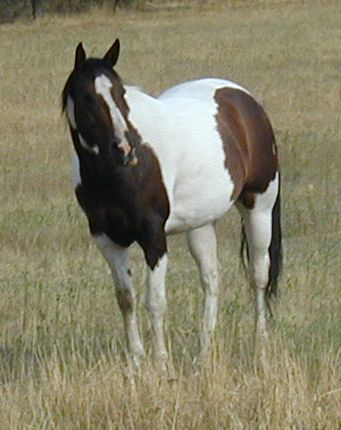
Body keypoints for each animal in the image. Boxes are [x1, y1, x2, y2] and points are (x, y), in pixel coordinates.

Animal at [61, 38, 282, 364]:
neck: (120, 174)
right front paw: (136, 361)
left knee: (258, 276)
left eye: (121, 93)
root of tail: (245, 100)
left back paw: (261, 345)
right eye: (88, 97)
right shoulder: (106, 238)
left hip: (259, 208)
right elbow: (126, 298)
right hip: (202, 224)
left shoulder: (153, 237)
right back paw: (204, 352)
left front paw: (161, 363)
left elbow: (155, 301)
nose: (124, 149)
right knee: (211, 280)